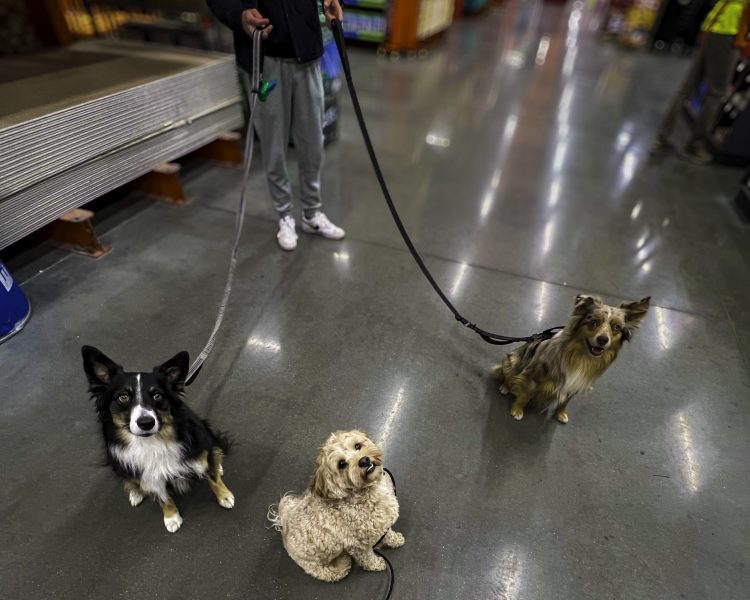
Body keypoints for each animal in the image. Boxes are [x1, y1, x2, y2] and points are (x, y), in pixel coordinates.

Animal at [82, 344, 235, 532]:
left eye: (157, 395)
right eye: (123, 397)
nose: (146, 422)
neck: (152, 442)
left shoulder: (199, 453)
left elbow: (212, 478)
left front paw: (225, 496)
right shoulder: (149, 475)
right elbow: (163, 498)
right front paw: (171, 517)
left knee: (215, 452)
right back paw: (136, 492)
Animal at [268, 428, 406, 584]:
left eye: (357, 446)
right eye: (341, 464)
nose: (364, 460)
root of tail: (284, 526)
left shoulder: (383, 525)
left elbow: (388, 534)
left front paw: (395, 540)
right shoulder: (357, 546)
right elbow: (367, 559)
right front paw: (377, 564)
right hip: (327, 568)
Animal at [494, 294, 652, 422]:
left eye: (616, 327)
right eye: (594, 322)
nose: (603, 339)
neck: (581, 357)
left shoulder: (575, 383)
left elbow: (565, 402)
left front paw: (561, 414)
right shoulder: (532, 374)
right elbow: (525, 395)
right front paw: (517, 410)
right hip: (512, 360)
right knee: (508, 374)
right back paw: (505, 387)